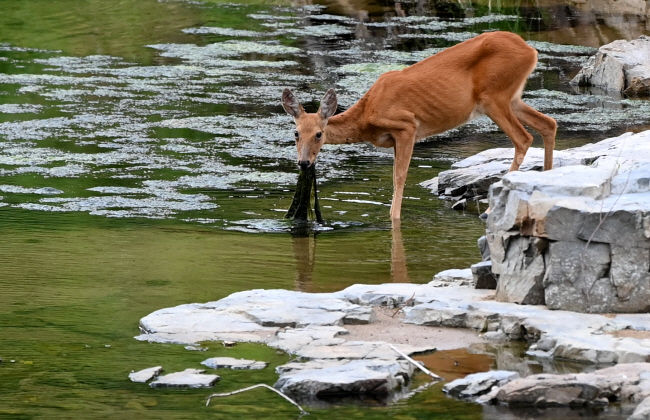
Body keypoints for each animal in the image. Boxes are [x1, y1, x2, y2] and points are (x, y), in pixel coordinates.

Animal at [280, 30, 556, 220]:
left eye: (319, 134)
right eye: (296, 133)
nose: (303, 162)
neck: (368, 114)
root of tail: (531, 51)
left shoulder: (406, 126)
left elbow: (399, 177)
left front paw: (394, 218)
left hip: (494, 97)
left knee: (523, 138)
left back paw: (489, 211)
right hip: (512, 98)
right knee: (548, 124)